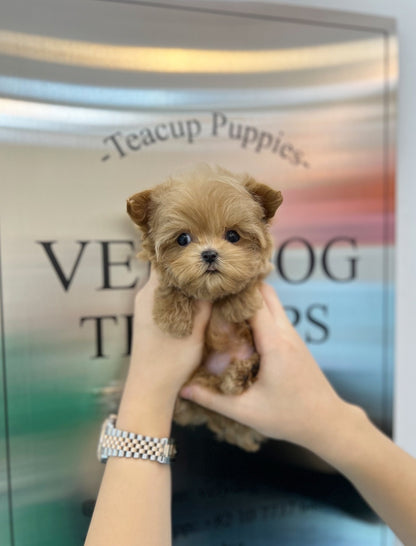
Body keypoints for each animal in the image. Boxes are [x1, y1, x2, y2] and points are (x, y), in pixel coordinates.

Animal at [127, 164, 282, 448]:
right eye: (182, 239)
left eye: (233, 235)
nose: (209, 253)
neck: (211, 293)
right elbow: (172, 285)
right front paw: (172, 317)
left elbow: (247, 281)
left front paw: (238, 303)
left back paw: (245, 373)